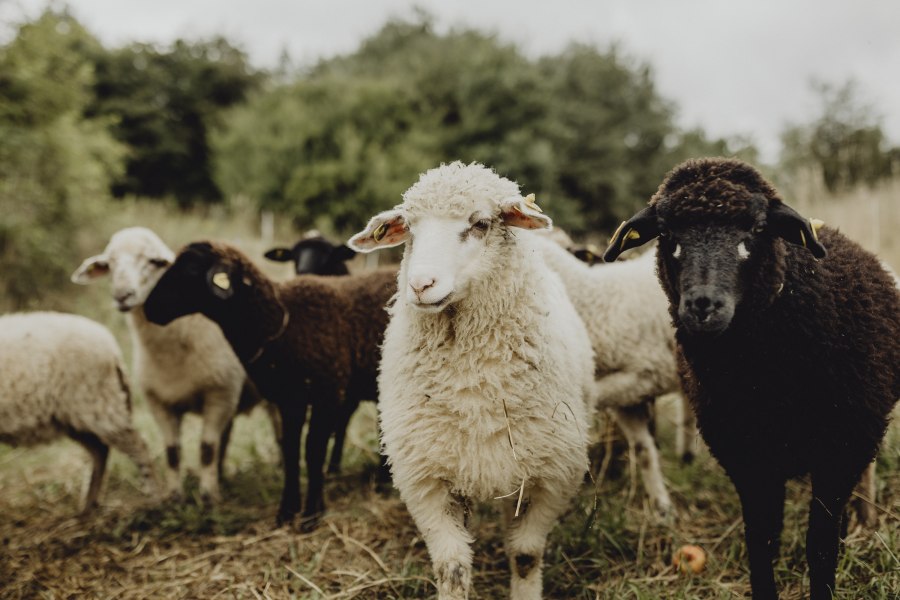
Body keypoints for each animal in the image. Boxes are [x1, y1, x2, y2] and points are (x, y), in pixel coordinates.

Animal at [0, 312, 154, 512]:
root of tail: (112, 348)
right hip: (76, 418)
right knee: (100, 451)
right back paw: (88, 507)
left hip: (99, 405)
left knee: (139, 447)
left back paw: (158, 497)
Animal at [73, 227, 274, 500]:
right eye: (109, 263)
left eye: (153, 261)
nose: (123, 295)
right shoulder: (159, 402)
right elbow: (172, 452)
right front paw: (174, 496)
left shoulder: (220, 394)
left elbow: (207, 448)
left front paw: (208, 497)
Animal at [142, 240, 396, 528]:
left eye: (191, 269)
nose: (150, 308)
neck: (284, 323)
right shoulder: (289, 399)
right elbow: (290, 451)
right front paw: (287, 512)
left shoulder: (327, 393)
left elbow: (313, 451)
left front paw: (311, 514)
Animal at [348, 161, 596, 600]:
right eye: (409, 228)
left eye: (480, 223)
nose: (420, 285)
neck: (472, 383)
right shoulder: (426, 479)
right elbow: (453, 567)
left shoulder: (552, 476)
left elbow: (526, 555)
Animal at [604, 158, 900, 600]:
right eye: (667, 232)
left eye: (757, 228)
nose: (703, 305)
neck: (764, 383)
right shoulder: (745, 456)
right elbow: (761, 543)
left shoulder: (841, 446)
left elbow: (820, 546)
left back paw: (864, 517)